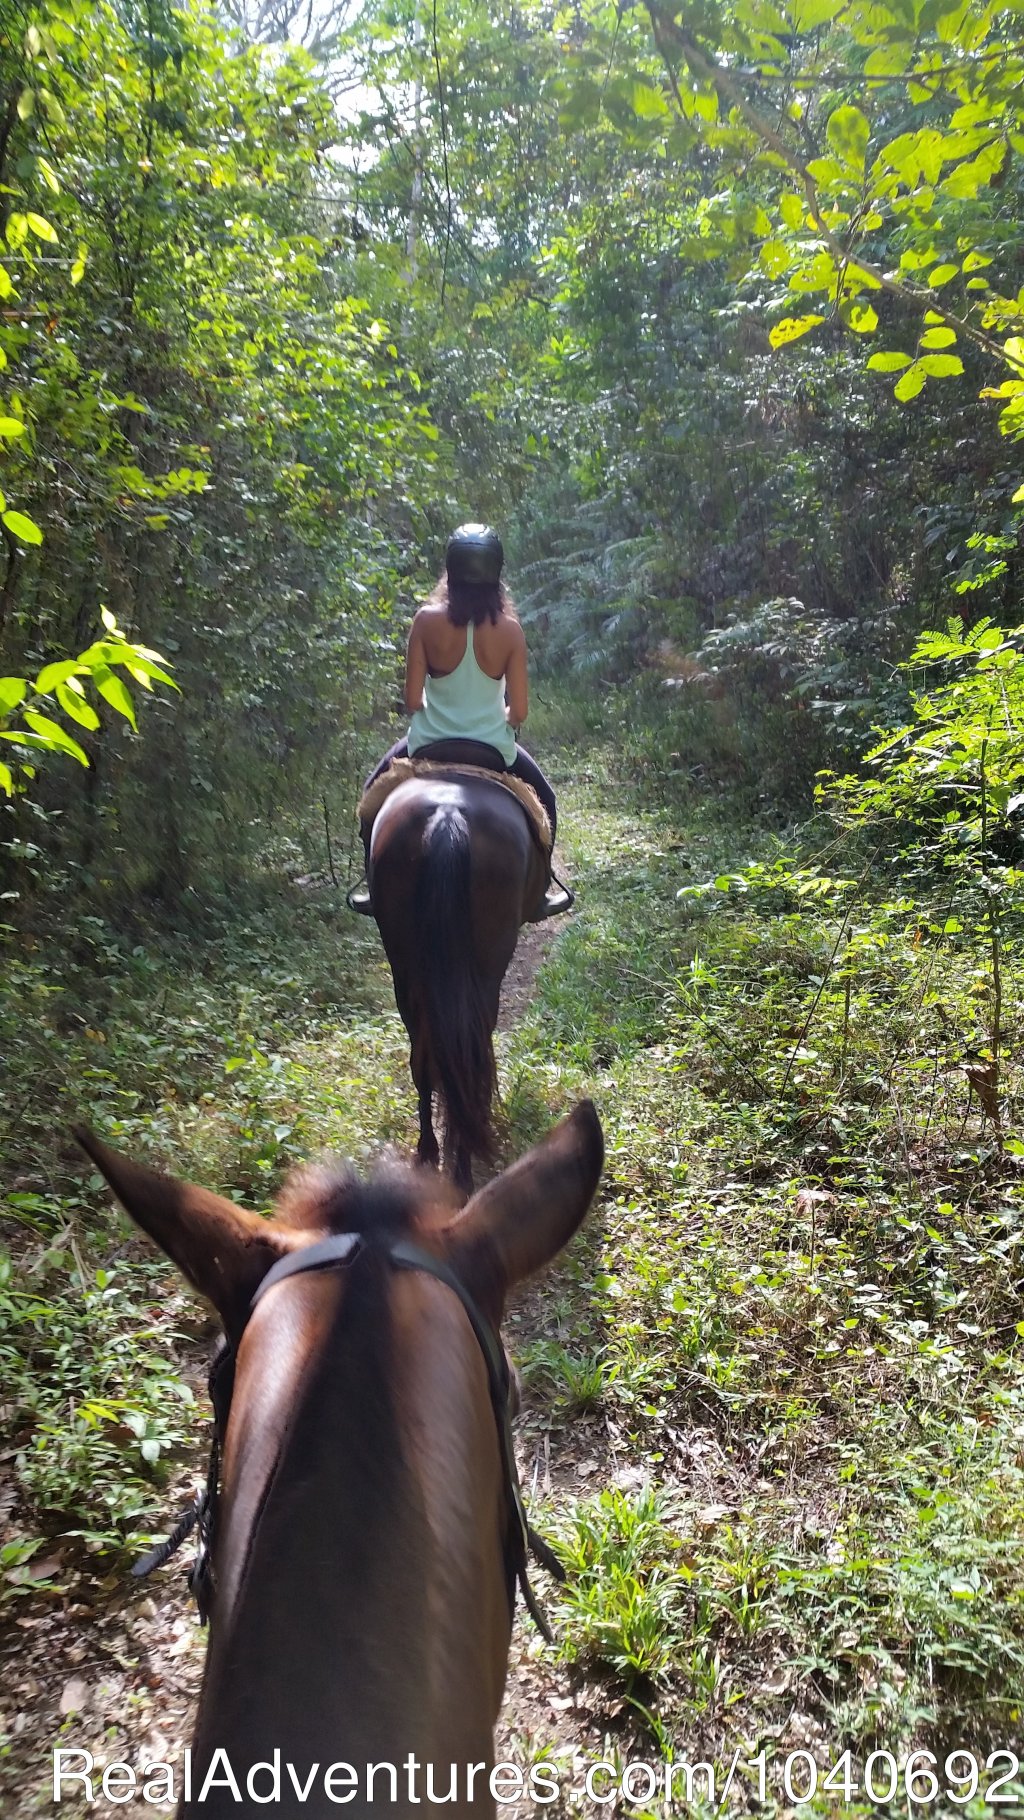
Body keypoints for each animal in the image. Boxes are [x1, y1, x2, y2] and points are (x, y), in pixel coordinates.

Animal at [371, 771, 549, 1186]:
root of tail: (447, 814)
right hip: (487, 964)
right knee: (472, 1052)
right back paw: (464, 1168)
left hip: (405, 965)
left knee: (423, 1056)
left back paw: (429, 1153)